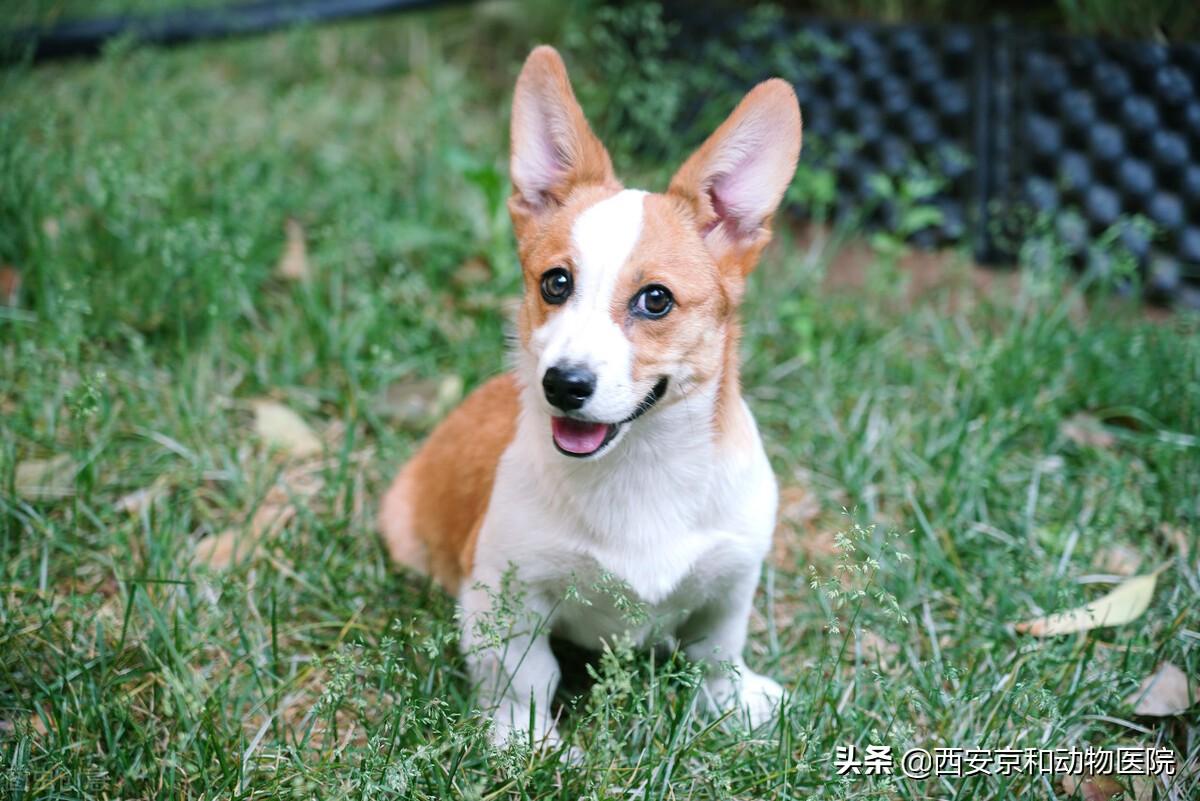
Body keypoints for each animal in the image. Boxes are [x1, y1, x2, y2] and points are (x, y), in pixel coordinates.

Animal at [379, 42, 801, 743]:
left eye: (655, 299)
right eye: (555, 283)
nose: (563, 384)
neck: (639, 468)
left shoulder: (731, 579)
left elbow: (718, 650)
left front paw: (734, 703)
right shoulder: (506, 593)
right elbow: (526, 678)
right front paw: (525, 743)